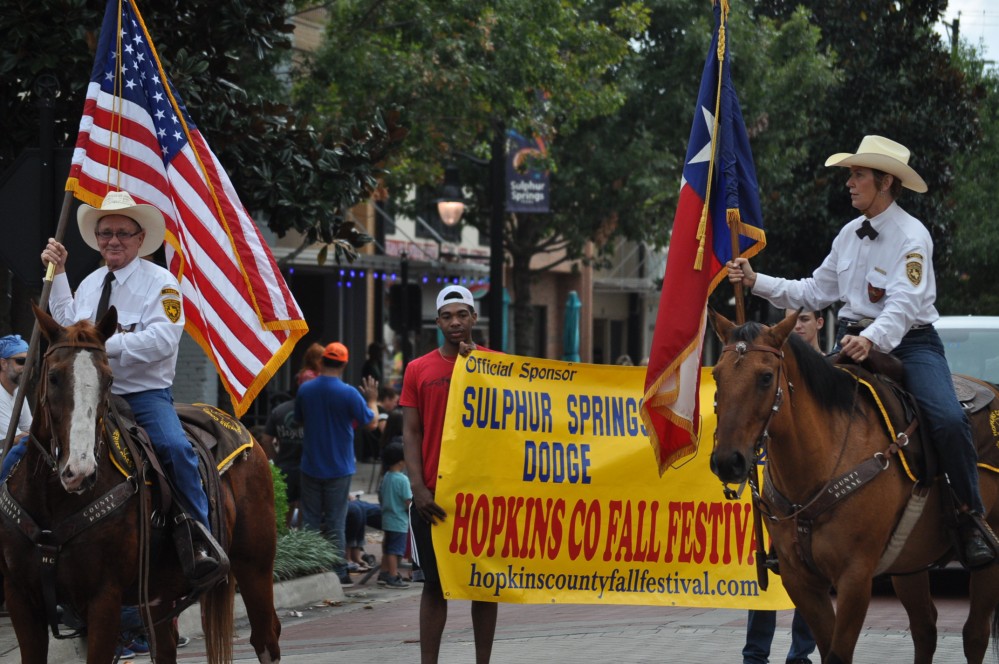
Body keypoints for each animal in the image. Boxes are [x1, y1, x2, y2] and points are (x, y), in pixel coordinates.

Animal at [0, 308, 282, 664]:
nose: (80, 470)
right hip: (159, 593)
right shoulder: (21, 600)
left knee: (266, 637)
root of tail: (243, 431)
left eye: (108, 379)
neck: (53, 501)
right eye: (53, 377)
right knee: (167, 645)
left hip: (255, 566)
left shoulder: (104, 600)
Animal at [712, 312, 999, 664]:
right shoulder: (800, 580)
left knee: (975, 634)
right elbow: (826, 648)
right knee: (925, 629)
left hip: (989, 560)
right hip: (909, 562)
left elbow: (838, 654)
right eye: (716, 375)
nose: (728, 461)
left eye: (766, 377)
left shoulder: (855, 578)